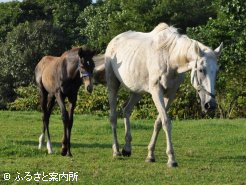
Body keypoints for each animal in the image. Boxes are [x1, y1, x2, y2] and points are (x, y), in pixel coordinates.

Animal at [96, 22, 223, 167]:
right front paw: (171, 159)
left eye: (217, 70)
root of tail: (114, 41)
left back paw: (127, 149)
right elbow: (166, 122)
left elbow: (158, 122)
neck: (170, 57)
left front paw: (150, 155)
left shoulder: (170, 94)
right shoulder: (157, 91)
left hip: (137, 91)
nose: (210, 105)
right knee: (113, 117)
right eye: (201, 70)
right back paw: (116, 151)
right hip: (113, 84)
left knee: (126, 110)